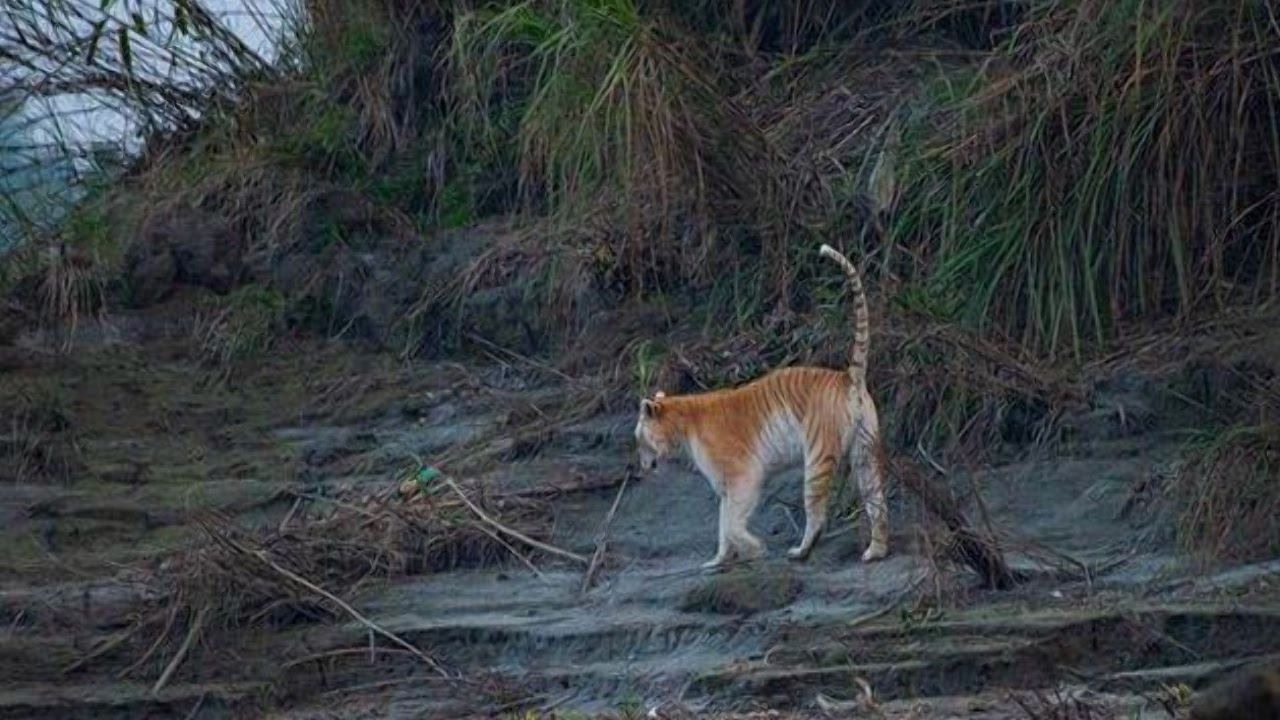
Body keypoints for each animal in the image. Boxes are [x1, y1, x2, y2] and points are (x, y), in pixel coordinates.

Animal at [632, 240, 890, 566]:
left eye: (639, 439)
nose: (641, 468)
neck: (683, 421)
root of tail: (848, 376)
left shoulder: (743, 474)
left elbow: (731, 522)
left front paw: (754, 549)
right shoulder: (726, 485)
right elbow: (722, 522)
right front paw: (718, 560)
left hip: (817, 458)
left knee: (817, 512)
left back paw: (801, 550)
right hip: (865, 450)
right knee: (877, 500)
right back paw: (875, 551)